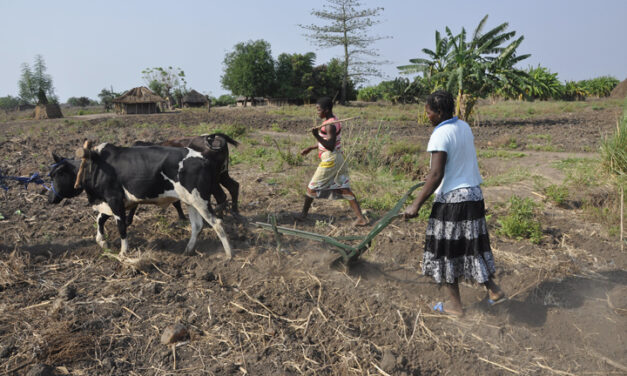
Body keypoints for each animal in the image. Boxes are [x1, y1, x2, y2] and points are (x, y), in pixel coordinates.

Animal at [47, 144, 233, 258]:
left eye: (57, 175)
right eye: (51, 174)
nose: (49, 198)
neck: (94, 166)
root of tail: (204, 157)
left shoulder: (114, 200)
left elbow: (121, 227)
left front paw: (123, 252)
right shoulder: (113, 202)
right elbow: (100, 219)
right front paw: (102, 241)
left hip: (200, 200)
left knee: (217, 223)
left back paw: (229, 255)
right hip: (191, 201)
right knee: (197, 226)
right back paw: (188, 251)